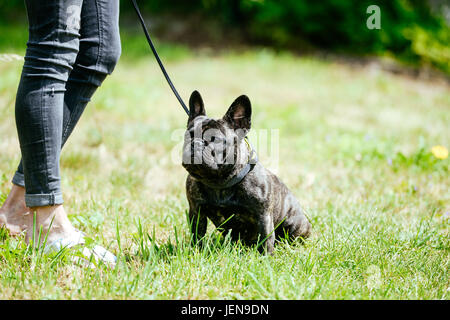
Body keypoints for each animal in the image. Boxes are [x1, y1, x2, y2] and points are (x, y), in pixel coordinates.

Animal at [181, 90, 312, 252]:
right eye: (189, 135)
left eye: (215, 139)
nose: (196, 143)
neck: (218, 182)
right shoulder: (196, 212)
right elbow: (197, 235)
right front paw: (196, 251)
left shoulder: (263, 216)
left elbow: (266, 239)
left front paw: (266, 257)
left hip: (294, 224)